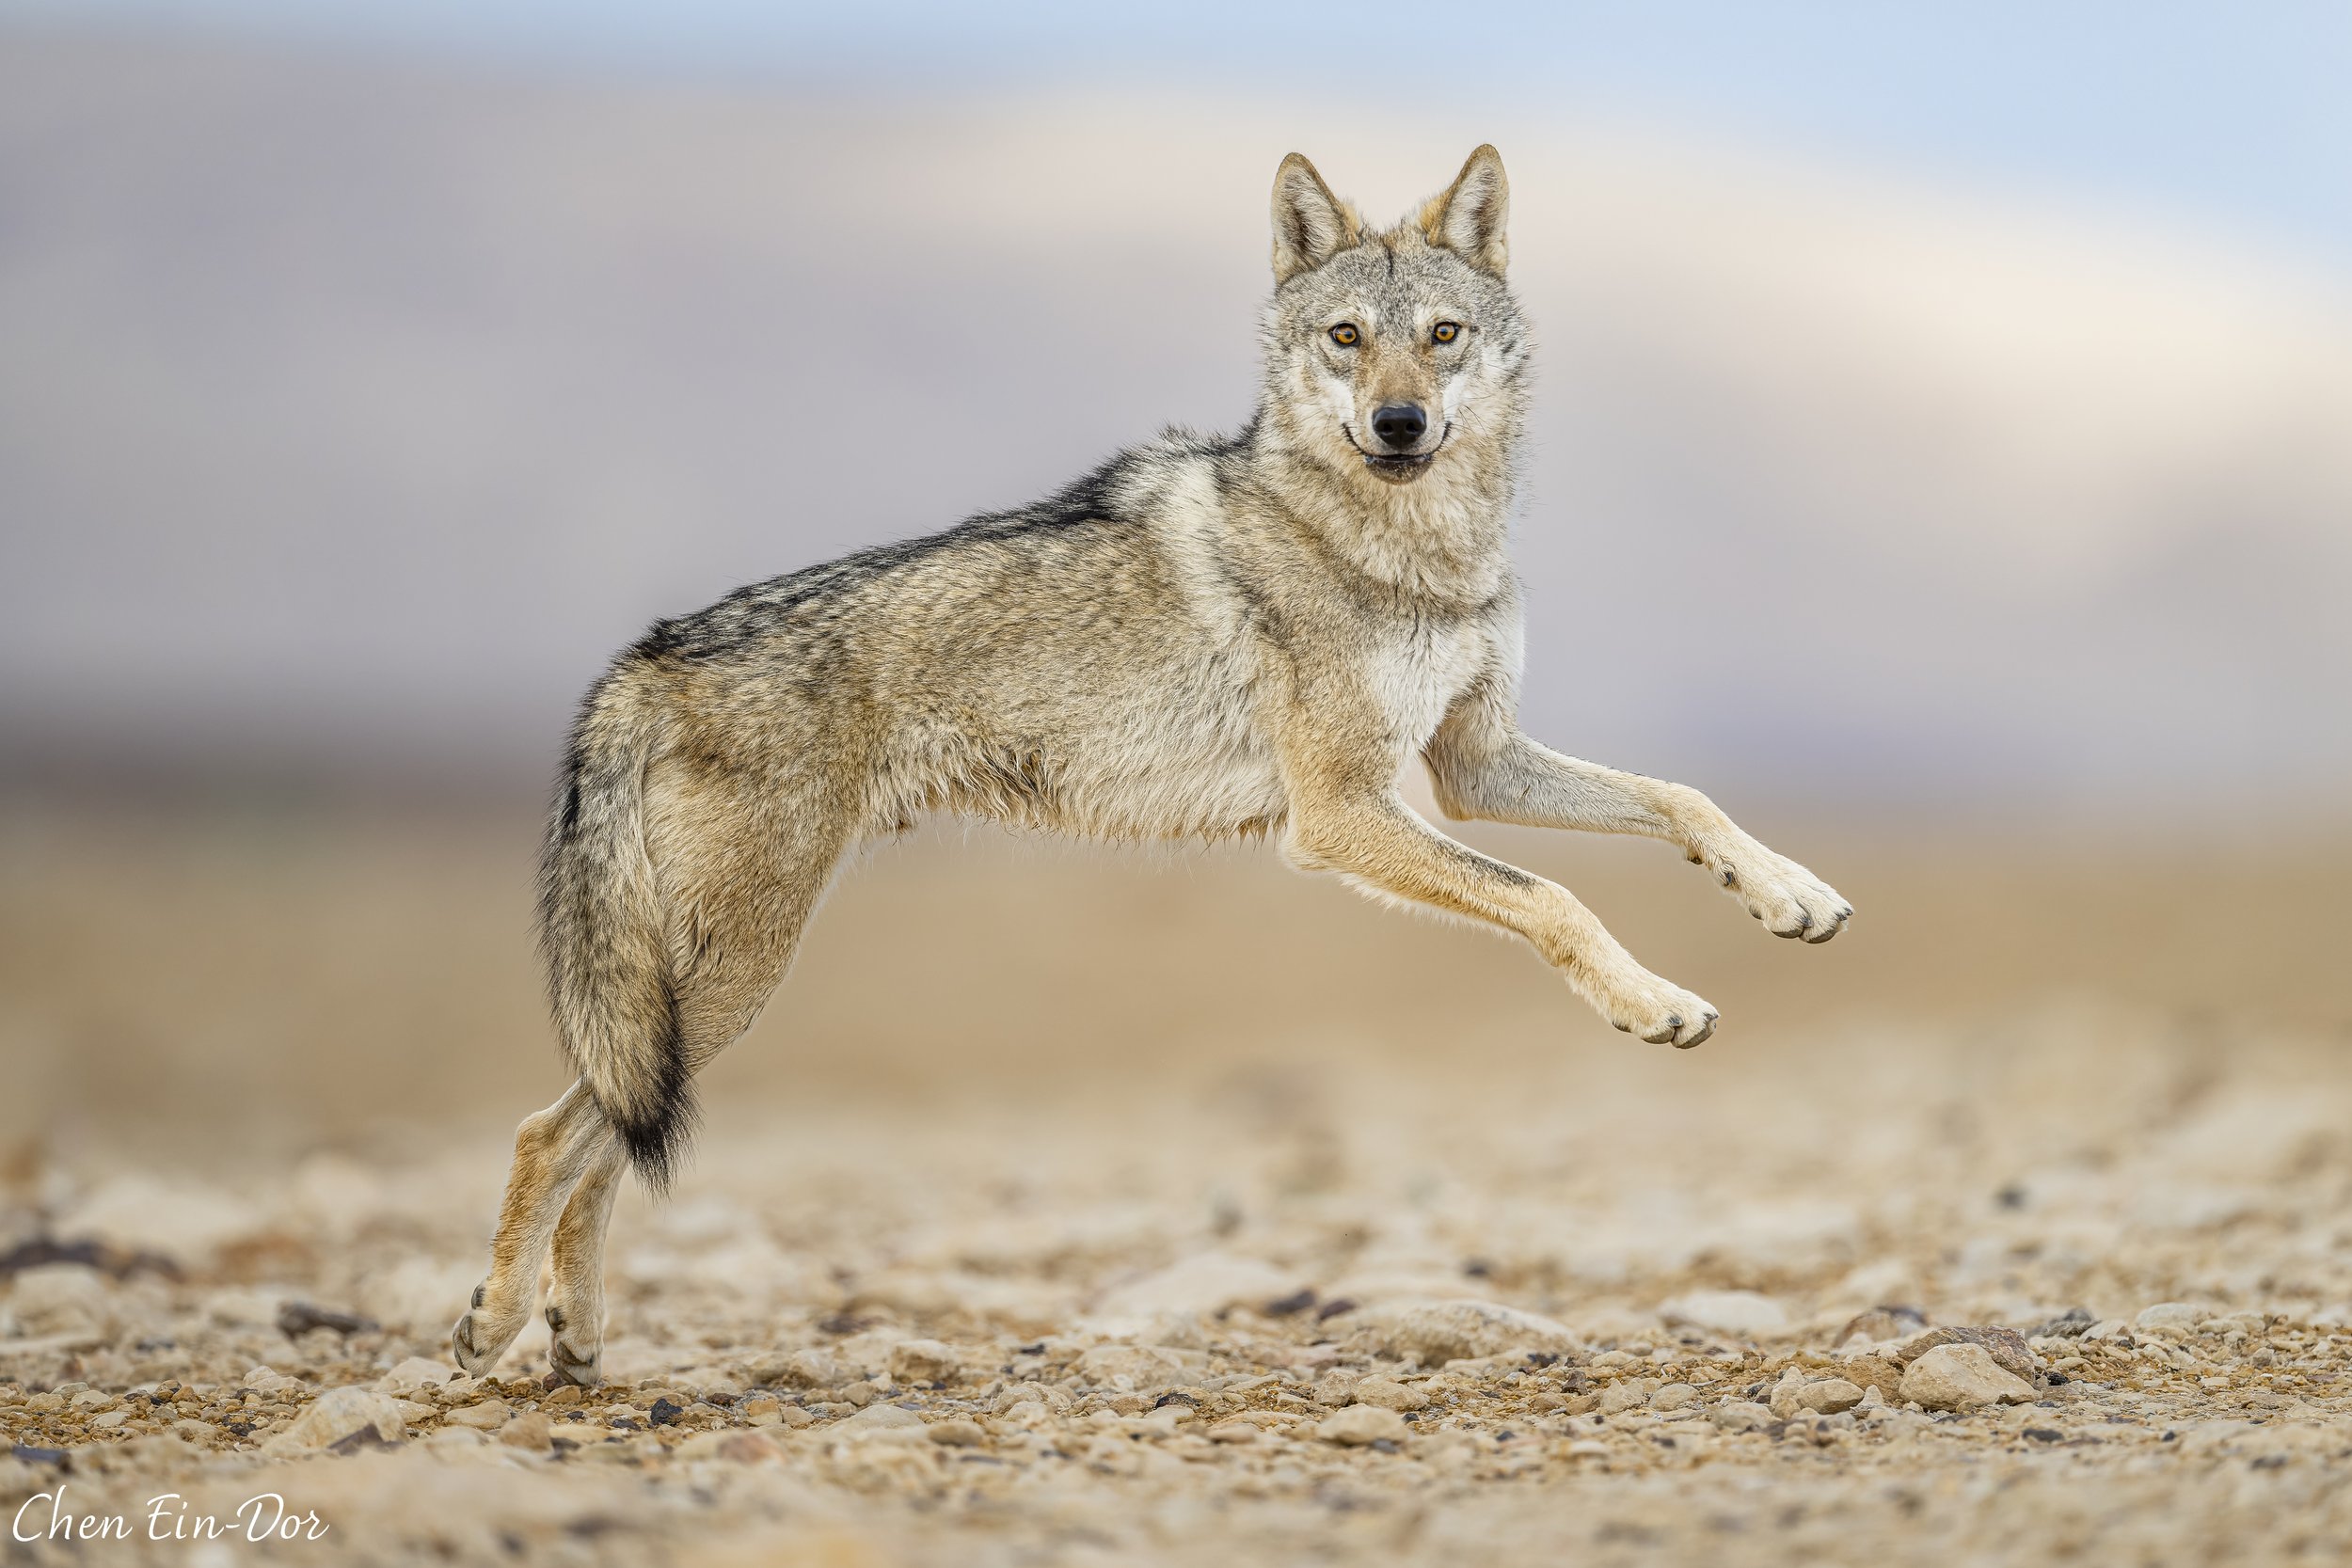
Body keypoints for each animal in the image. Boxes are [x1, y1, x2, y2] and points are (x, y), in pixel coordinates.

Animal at [450, 145, 1851, 1384]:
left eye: (1443, 334)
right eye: (1347, 338)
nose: (1399, 423)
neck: (1410, 547)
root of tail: (638, 658)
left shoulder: (1472, 764)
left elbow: (1679, 796)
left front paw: (1789, 894)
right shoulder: (1341, 813)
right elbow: (1554, 898)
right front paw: (1650, 1001)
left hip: (695, 996)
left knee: (599, 1140)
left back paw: (575, 1338)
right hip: (725, 975)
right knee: (547, 1130)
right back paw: (496, 1320)